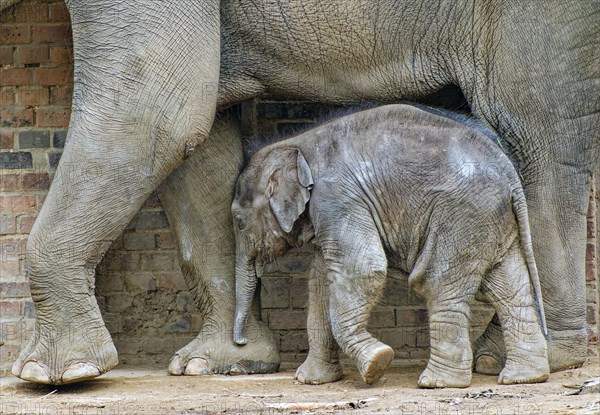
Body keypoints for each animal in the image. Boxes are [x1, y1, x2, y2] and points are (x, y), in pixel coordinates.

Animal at [230, 104, 548, 390]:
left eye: (239, 222)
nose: (241, 343)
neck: (296, 143)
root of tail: (510, 174)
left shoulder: (337, 199)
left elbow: (362, 271)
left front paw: (377, 364)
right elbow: (320, 284)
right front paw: (310, 380)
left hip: (462, 215)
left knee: (438, 282)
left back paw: (437, 383)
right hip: (492, 220)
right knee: (509, 286)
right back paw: (524, 378)